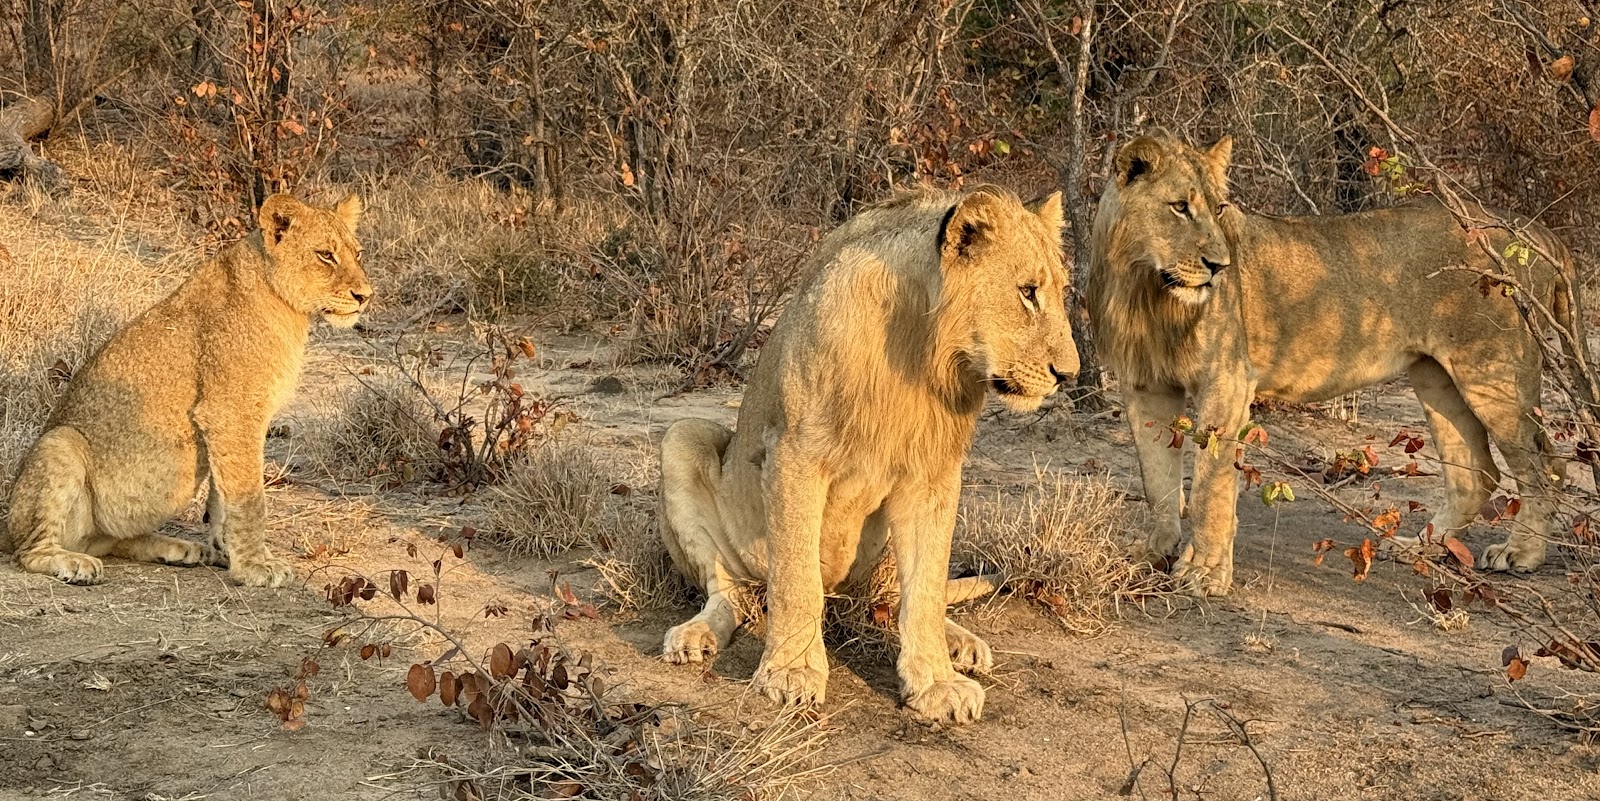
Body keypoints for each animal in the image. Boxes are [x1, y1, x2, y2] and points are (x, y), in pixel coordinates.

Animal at [5, 193, 372, 587]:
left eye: (358, 253)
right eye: (325, 255)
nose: (365, 296)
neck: (286, 307)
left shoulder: (233, 420)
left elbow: (223, 496)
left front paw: (226, 550)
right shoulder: (231, 411)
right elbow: (249, 498)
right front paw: (255, 567)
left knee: (114, 541)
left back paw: (179, 549)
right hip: (59, 443)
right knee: (29, 550)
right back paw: (72, 563)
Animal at [657, 186, 1076, 723]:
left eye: (1059, 291)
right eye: (1027, 291)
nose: (1069, 375)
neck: (920, 352)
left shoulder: (934, 476)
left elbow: (925, 590)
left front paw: (937, 682)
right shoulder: (795, 454)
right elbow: (796, 579)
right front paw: (791, 672)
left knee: (903, 595)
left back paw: (959, 643)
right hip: (682, 438)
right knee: (729, 593)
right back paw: (696, 635)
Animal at [1087, 131, 1581, 597]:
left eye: (1221, 207)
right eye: (1179, 208)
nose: (1221, 266)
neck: (1146, 288)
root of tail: (1536, 231)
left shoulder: (1225, 379)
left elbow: (1211, 481)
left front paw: (1204, 574)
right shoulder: (1144, 384)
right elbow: (1156, 477)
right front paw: (1154, 552)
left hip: (1492, 374)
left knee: (1546, 466)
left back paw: (1521, 553)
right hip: (1435, 376)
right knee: (1477, 472)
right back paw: (1418, 547)